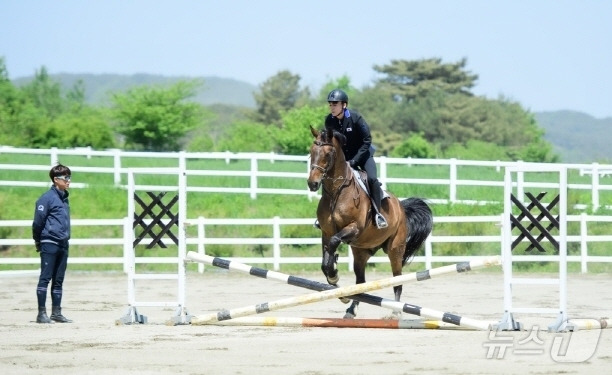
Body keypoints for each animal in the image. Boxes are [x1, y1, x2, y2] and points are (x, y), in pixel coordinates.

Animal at [308, 127, 432, 320]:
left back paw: (395, 313)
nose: (312, 184)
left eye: (328, 154)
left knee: (397, 279)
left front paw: (334, 275)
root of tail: (401, 207)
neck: (337, 192)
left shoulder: (354, 228)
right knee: (360, 282)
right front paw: (335, 281)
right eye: (311, 152)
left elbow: (335, 243)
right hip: (361, 252)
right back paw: (351, 309)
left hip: (395, 249)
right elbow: (325, 260)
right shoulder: (326, 232)